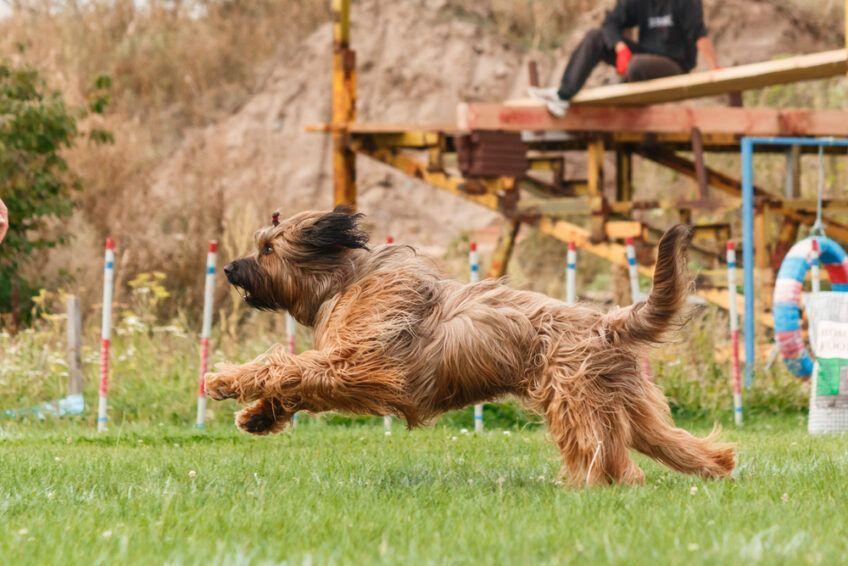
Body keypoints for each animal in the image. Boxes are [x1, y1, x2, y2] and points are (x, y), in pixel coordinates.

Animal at [207, 209, 736, 488]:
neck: (345, 281)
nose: (230, 268)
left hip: (575, 401)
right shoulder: (347, 367)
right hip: (623, 401)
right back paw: (717, 467)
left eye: (268, 250)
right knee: (669, 442)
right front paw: (257, 415)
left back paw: (586, 486)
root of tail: (606, 322)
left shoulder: (362, 367)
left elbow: (285, 366)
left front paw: (224, 380)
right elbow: (293, 378)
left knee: (601, 454)